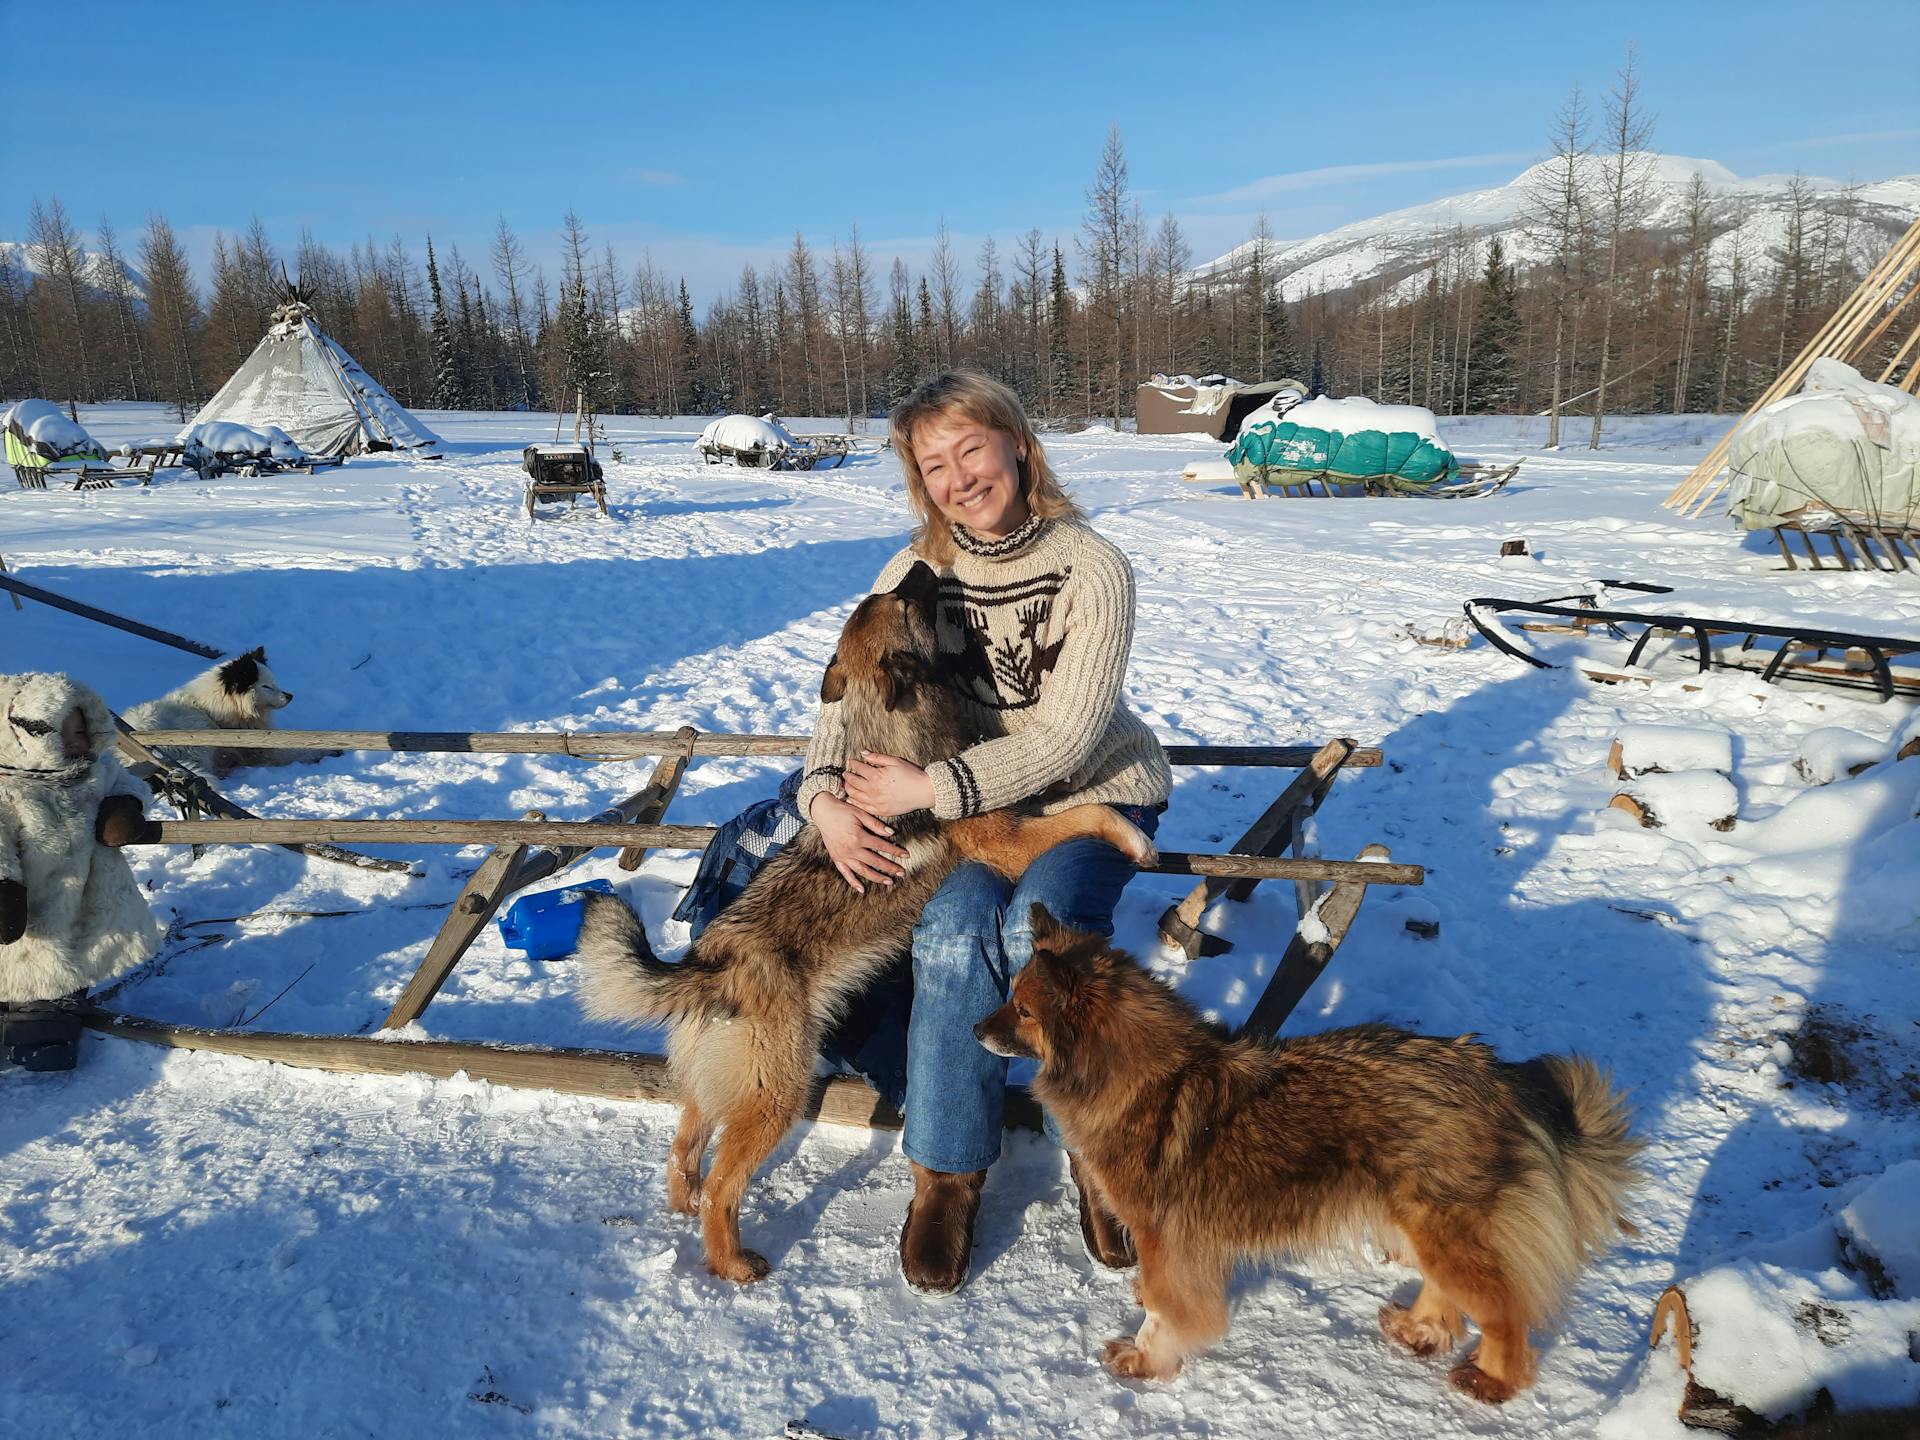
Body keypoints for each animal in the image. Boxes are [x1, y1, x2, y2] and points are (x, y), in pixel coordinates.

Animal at [568, 560, 1152, 1282]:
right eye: (904, 600)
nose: (924, 565)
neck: (893, 726)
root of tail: (710, 962)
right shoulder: (1005, 840)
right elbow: (1084, 815)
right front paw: (1133, 836)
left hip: (720, 1081)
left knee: (684, 1146)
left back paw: (683, 1206)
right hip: (778, 1093)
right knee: (724, 1185)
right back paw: (733, 1263)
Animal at [983, 906, 1643, 1405]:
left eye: (1024, 1009)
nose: (973, 1030)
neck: (1133, 1073)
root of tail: (1491, 1076)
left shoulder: (1168, 1237)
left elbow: (1168, 1315)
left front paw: (1145, 1359)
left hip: (1449, 1232)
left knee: (1506, 1311)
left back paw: (1491, 1379)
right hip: (1425, 1227)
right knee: (1449, 1294)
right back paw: (1419, 1330)